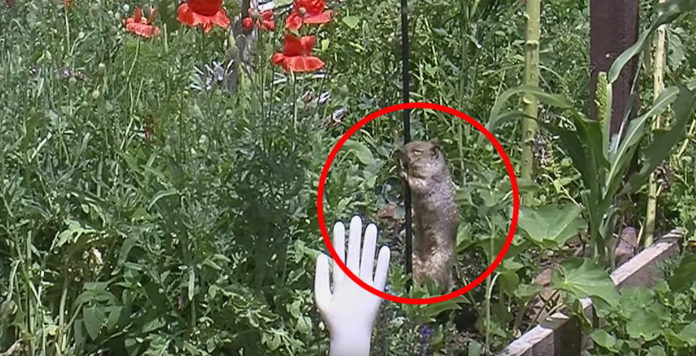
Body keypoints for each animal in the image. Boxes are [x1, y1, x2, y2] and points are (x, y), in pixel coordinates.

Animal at [400, 140, 460, 290]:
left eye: (418, 151)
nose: (398, 151)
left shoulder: (429, 181)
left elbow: (417, 184)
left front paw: (404, 173)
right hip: (414, 260)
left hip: (437, 264)